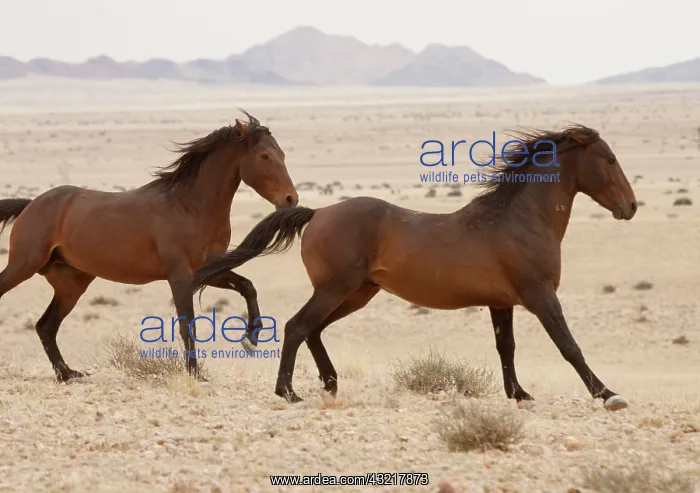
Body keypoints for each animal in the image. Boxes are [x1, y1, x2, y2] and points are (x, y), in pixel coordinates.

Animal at [0, 110, 298, 381]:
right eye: (264, 156)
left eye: (283, 155)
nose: (290, 199)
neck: (189, 206)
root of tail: (31, 204)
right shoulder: (179, 275)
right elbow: (187, 325)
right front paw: (195, 374)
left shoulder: (207, 270)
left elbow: (247, 286)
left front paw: (253, 335)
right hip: (24, 265)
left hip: (71, 283)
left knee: (46, 327)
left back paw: (67, 374)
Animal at [190, 124, 638, 411]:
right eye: (610, 159)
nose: (630, 207)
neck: (519, 220)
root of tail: (317, 213)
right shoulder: (541, 296)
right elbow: (569, 346)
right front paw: (609, 395)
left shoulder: (502, 302)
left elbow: (506, 347)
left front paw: (520, 395)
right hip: (336, 289)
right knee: (297, 326)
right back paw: (289, 393)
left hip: (356, 293)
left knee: (312, 330)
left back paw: (330, 386)